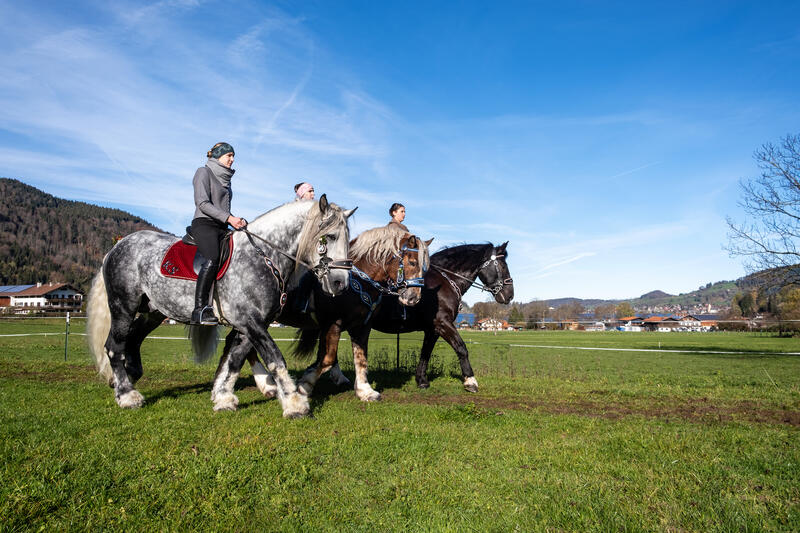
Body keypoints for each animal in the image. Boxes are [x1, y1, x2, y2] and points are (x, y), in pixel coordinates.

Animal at [85, 196, 356, 420]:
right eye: (329, 237)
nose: (340, 283)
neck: (263, 257)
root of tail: (117, 246)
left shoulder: (252, 324)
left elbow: (235, 359)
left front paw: (223, 397)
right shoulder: (251, 322)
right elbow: (275, 359)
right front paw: (294, 404)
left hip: (153, 311)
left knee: (133, 339)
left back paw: (128, 377)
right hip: (123, 306)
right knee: (114, 347)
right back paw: (127, 395)